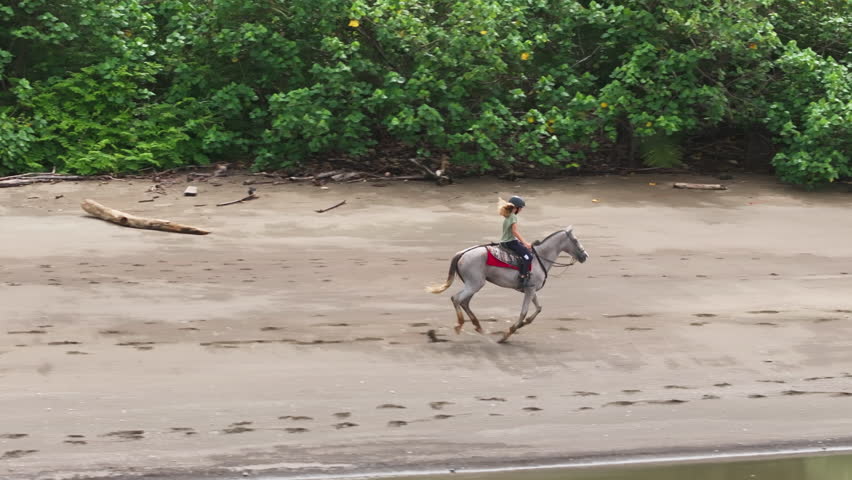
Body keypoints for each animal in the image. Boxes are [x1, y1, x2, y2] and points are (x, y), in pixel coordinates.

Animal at [427, 227, 588, 343]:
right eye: (575, 240)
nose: (585, 256)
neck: (539, 258)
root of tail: (462, 253)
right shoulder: (530, 289)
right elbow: (523, 312)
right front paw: (507, 333)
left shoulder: (531, 289)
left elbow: (538, 308)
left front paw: (524, 323)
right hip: (474, 284)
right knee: (457, 299)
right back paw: (459, 325)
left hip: (473, 284)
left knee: (464, 302)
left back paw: (477, 326)